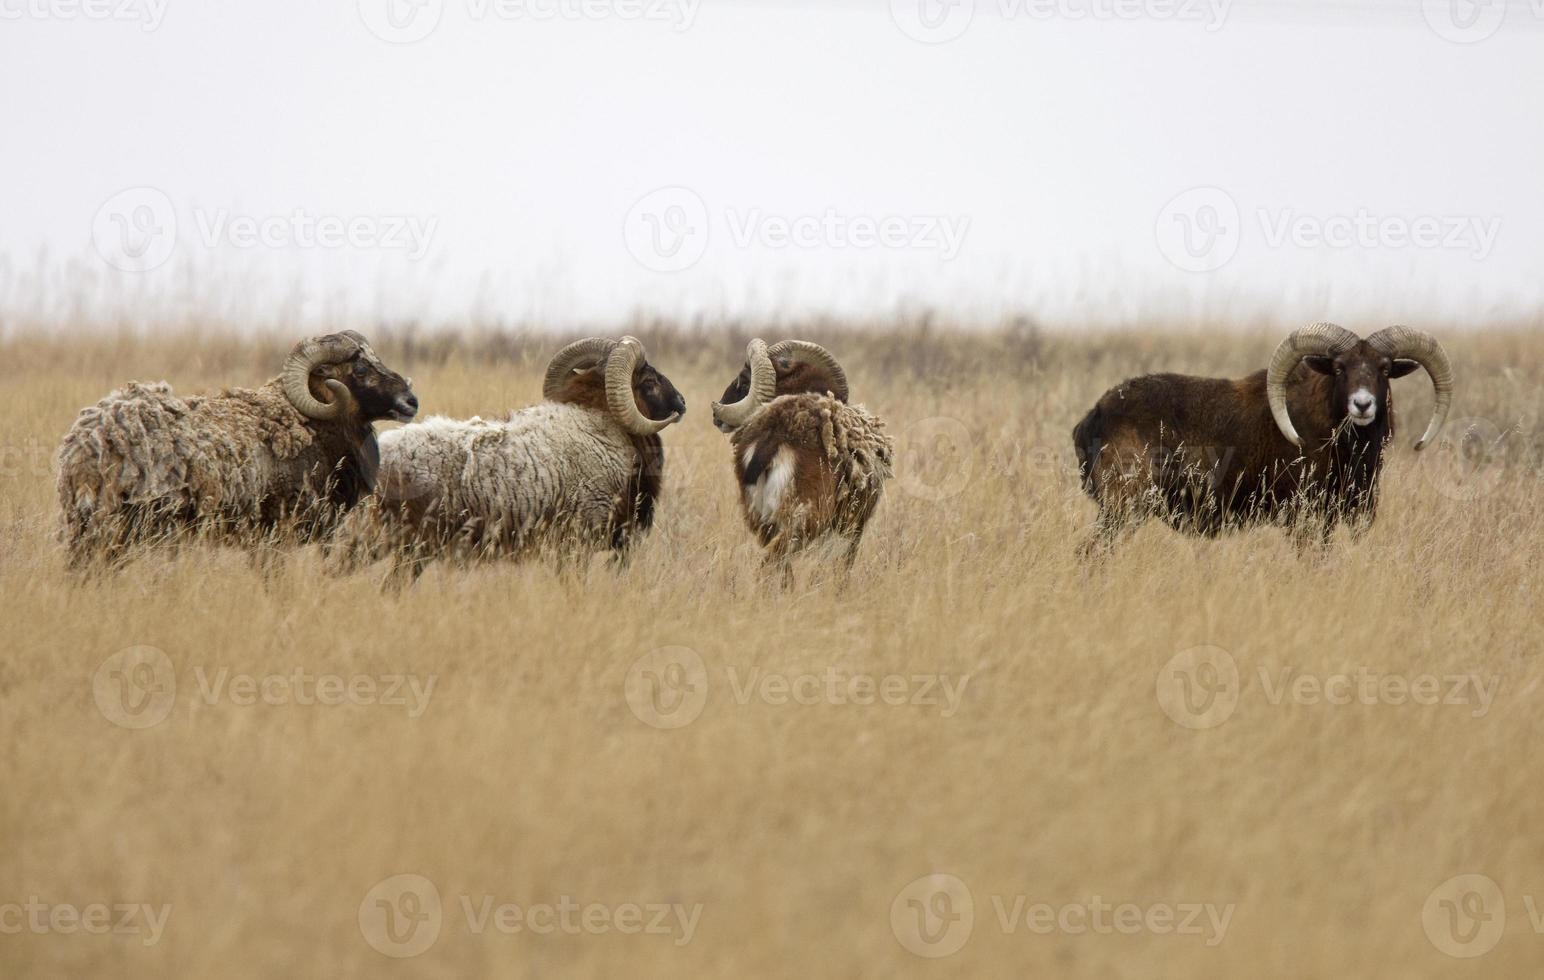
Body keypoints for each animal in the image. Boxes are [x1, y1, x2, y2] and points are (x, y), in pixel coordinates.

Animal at [56, 331, 416, 567]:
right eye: (360, 369)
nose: (411, 401)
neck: (307, 423)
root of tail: (83, 445)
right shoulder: (274, 536)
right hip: (117, 526)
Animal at [710, 341, 895, 583]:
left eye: (744, 380)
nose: (717, 417)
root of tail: (773, 439)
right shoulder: (853, 529)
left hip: (764, 522)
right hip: (803, 522)